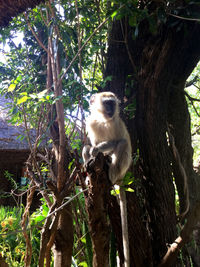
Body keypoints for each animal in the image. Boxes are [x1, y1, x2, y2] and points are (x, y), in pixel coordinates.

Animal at [82, 92, 132, 267]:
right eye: (106, 103)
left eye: (112, 103)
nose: (111, 109)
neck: (103, 119)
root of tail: (121, 177)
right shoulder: (90, 122)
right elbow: (90, 145)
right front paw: (91, 154)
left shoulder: (116, 123)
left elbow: (115, 141)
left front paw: (97, 149)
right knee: (86, 148)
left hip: (123, 166)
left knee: (122, 143)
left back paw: (111, 171)